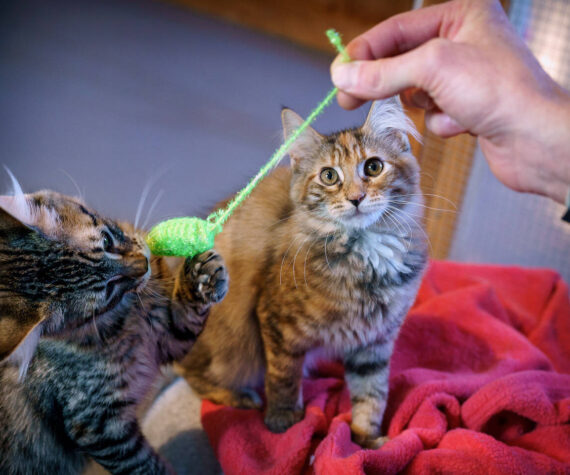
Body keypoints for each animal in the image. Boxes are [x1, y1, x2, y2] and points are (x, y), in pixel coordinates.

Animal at [0, 183, 226, 475]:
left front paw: (203, 276)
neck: (125, 315)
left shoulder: (165, 336)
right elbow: (147, 466)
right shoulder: (99, 427)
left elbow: (187, 314)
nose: (145, 264)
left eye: (106, 242)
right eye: (108, 288)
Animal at [179, 97, 426, 450]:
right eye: (329, 176)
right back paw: (240, 397)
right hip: (233, 346)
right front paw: (284, 421)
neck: (365, 256)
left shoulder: (375, 342)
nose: (356, 198)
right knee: (188, 370)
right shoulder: (276, 323)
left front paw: (366, 439)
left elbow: (372, 394)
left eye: (373, 167)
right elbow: (283, 377)